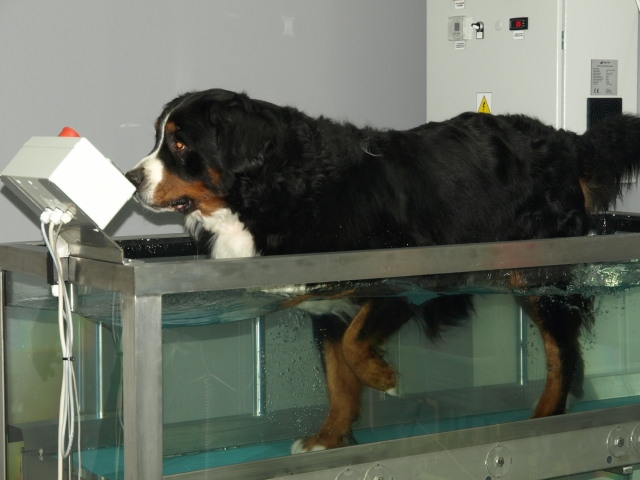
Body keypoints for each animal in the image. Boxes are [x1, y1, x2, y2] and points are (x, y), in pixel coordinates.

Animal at [126, 88, 640, 453]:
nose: (131, 180)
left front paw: (385, 379)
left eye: (180, 143)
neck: (286, 191)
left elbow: (356, 345)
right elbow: (338, 381)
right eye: (159, 137)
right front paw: (329, 439)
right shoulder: (324, 306)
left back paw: (545, 417)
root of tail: (565, 139)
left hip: (538, 279)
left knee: (561, 353)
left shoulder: (404, 283)